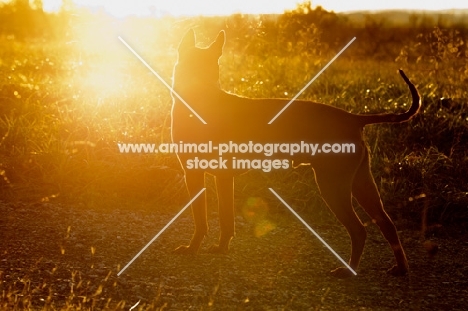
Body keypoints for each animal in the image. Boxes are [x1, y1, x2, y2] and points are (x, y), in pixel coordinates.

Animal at [170, 29, 418, 280]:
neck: (202, 96)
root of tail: (353, 118)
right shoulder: (223, 178)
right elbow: (226, 219)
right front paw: (222, 248)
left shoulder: (195, 174)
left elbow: (201, 219)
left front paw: (192, 248)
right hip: (361, 183)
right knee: (387, 223)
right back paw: (401, 268)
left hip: (333, 185)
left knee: (359, 230)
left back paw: (349, 270)